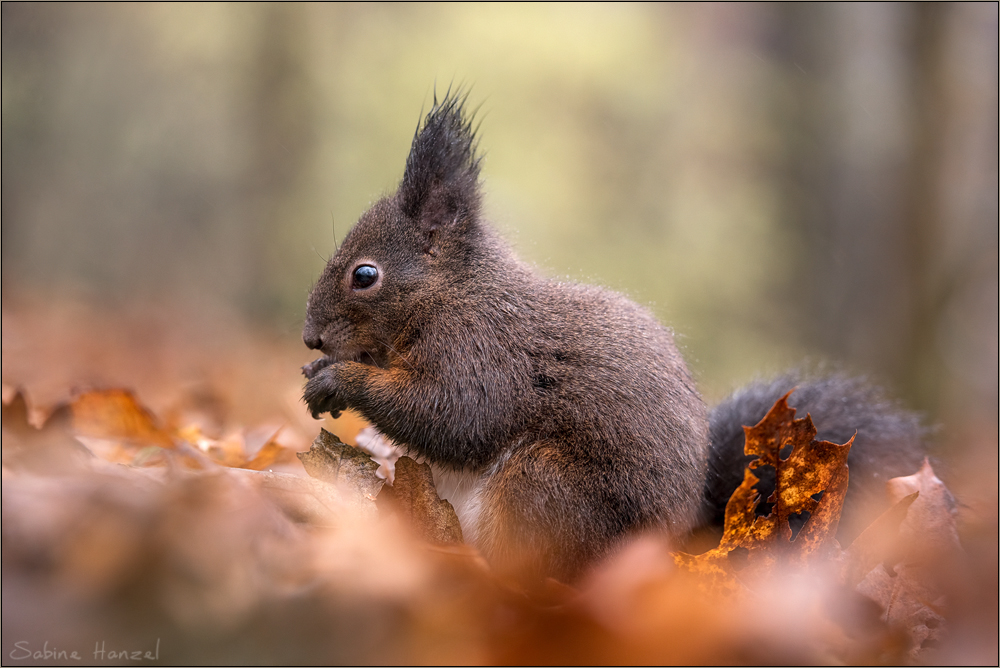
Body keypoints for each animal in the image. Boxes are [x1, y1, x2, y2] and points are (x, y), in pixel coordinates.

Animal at [302, 93, 926, 583]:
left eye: (365, 275)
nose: (310, 339)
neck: (450, 295)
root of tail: (669, 552)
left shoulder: (480, 352)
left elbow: (452, 417)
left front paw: (339, 379)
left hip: (542, 487)